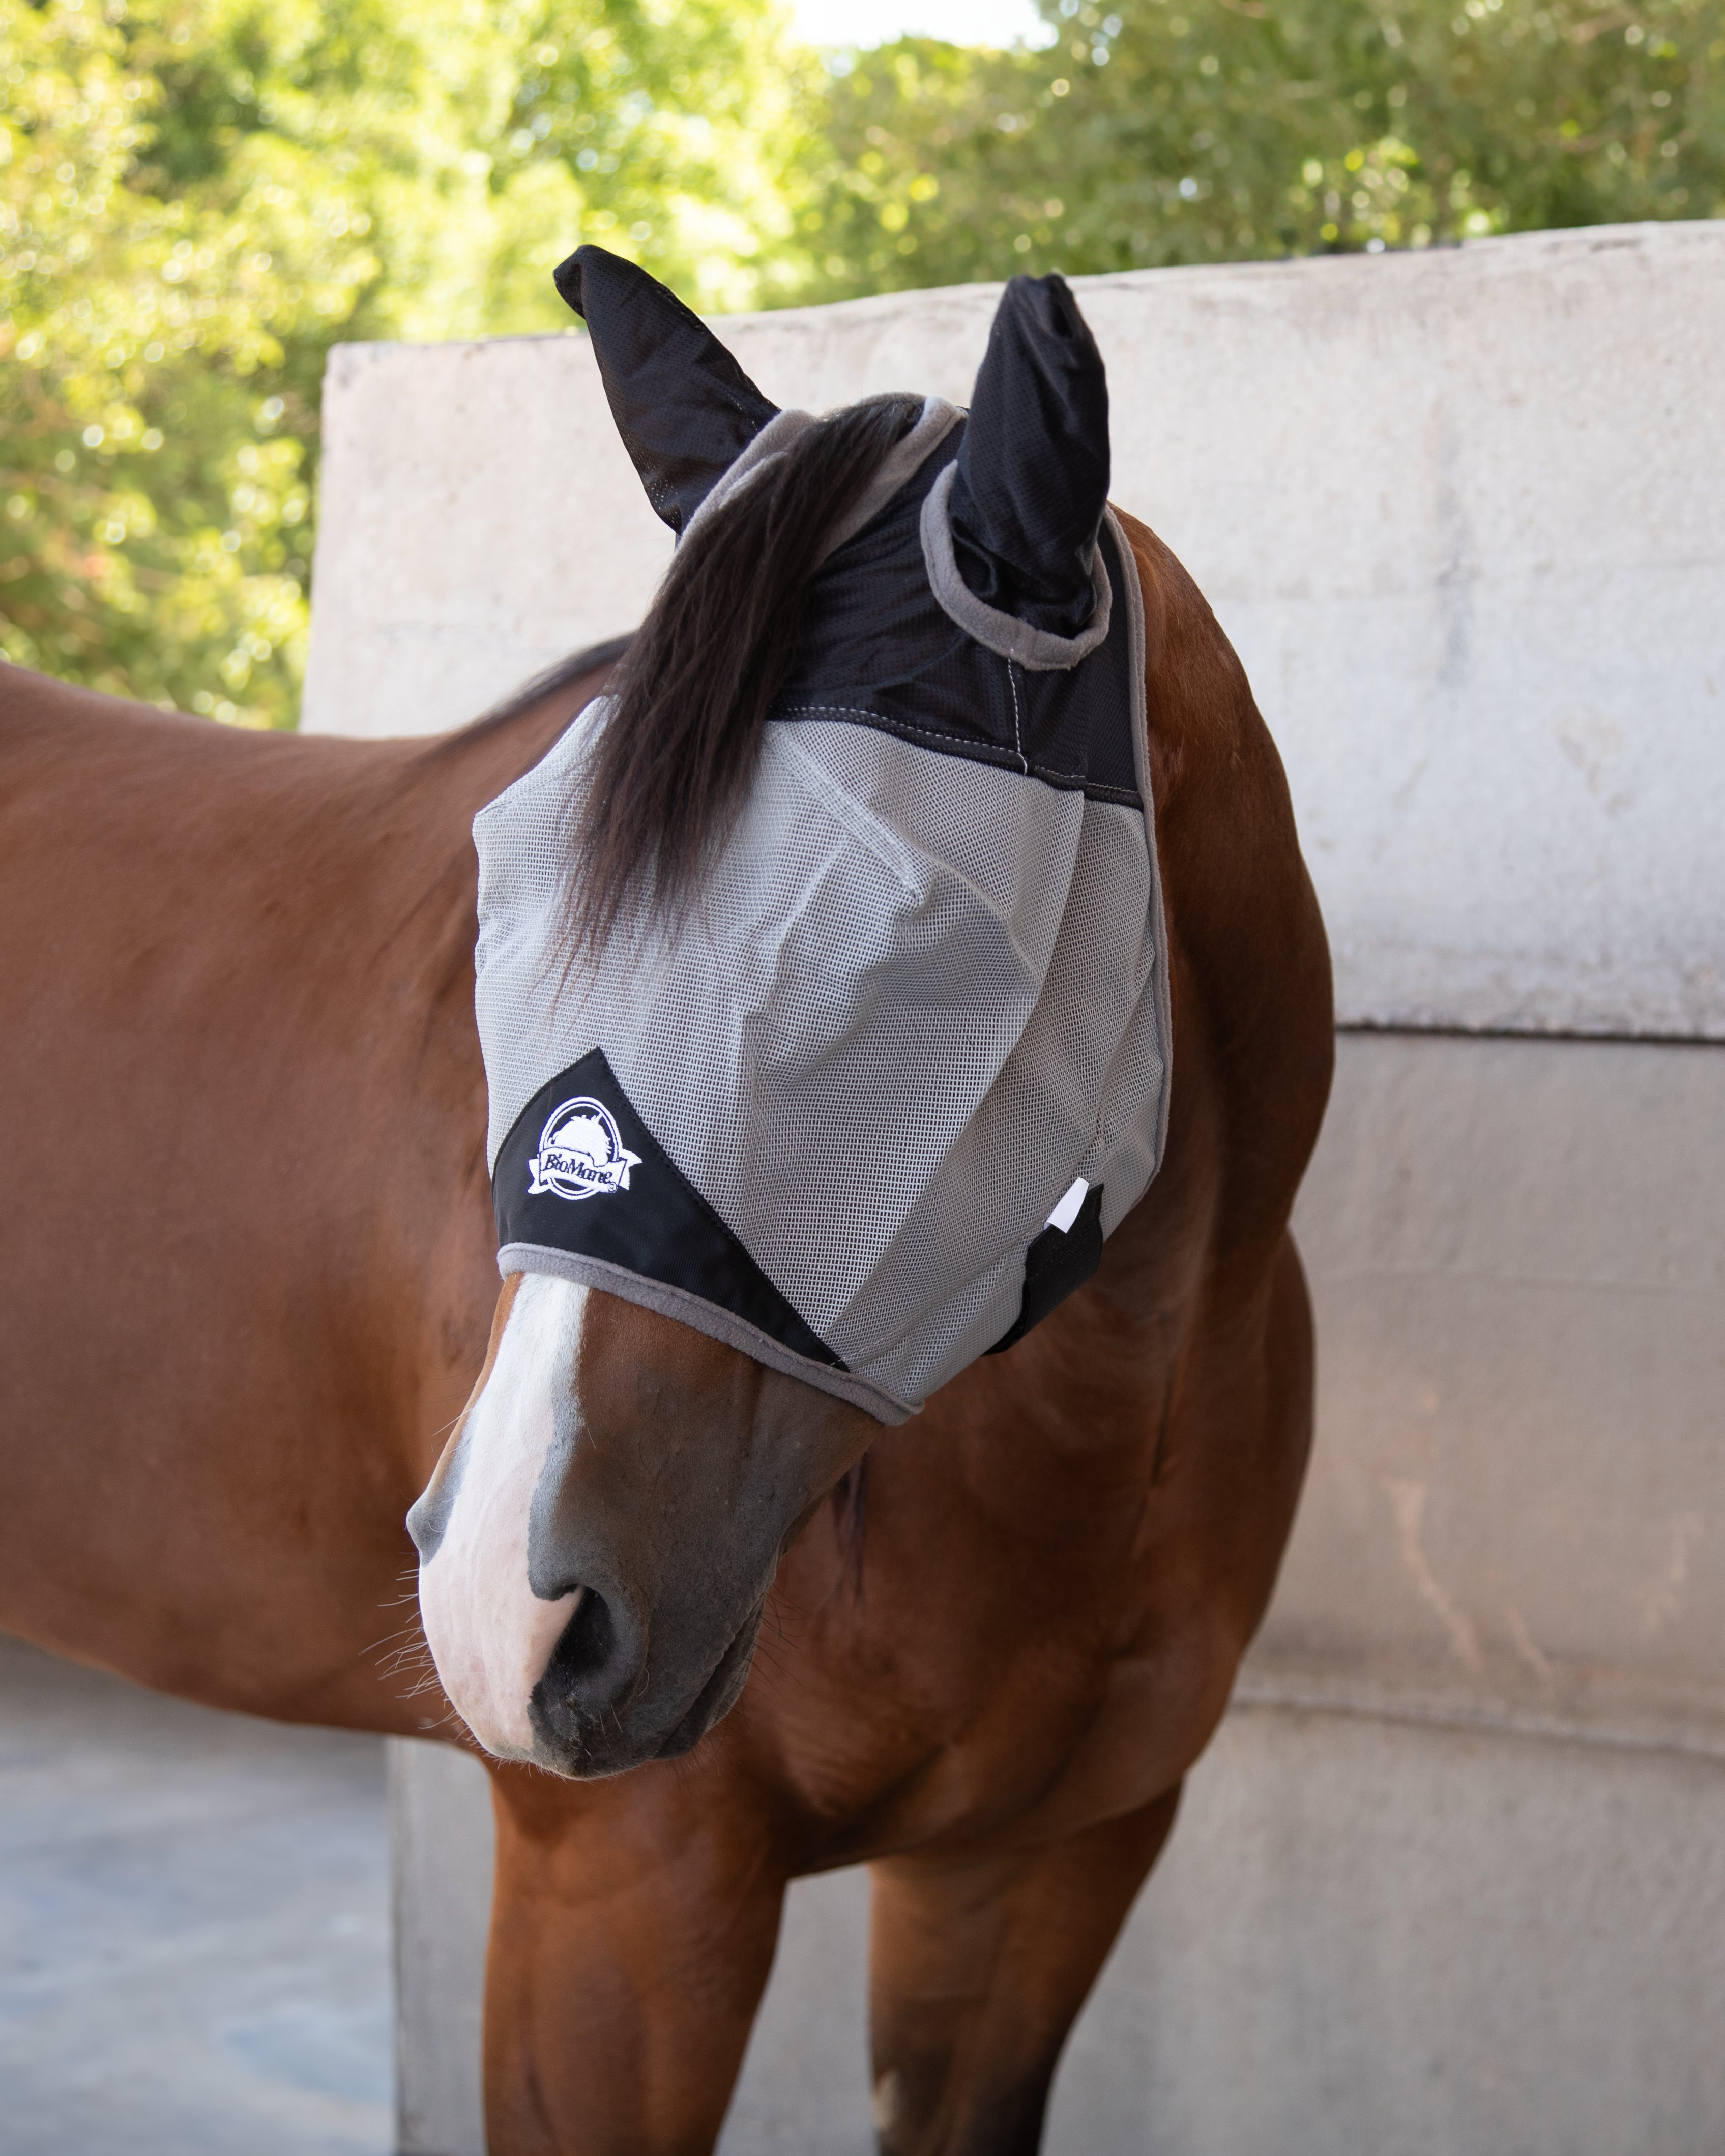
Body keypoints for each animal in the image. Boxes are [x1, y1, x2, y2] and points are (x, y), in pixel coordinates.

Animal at [0, 251, 1332, 2156]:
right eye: (505, 886)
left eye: (908, 938)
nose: (510, 1604)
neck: (1093, 1418)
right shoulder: (620, 1895)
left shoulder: (1042, 1865)